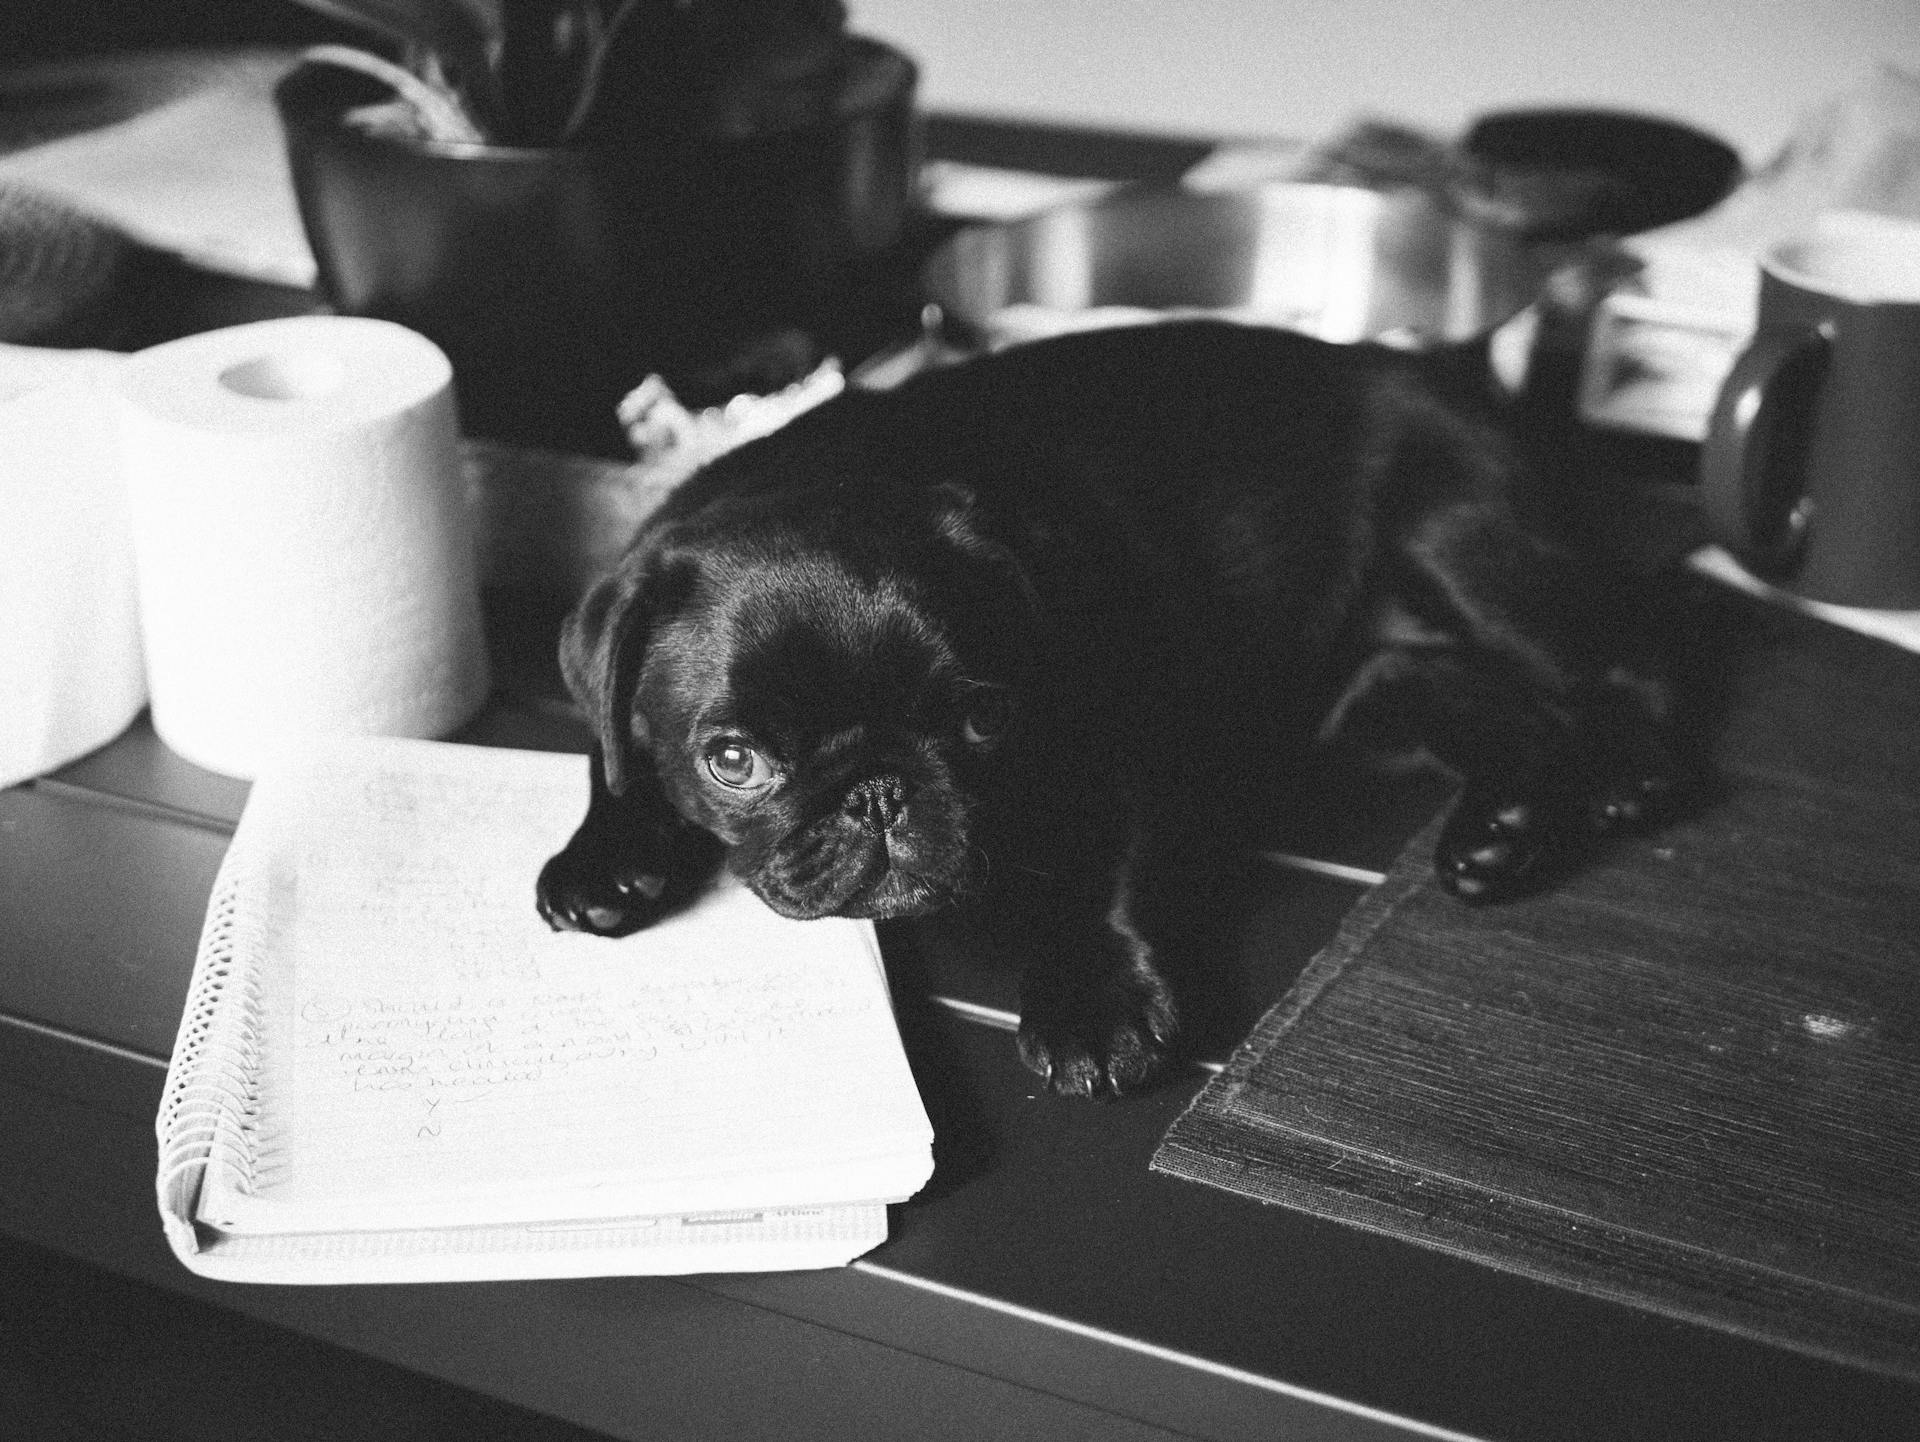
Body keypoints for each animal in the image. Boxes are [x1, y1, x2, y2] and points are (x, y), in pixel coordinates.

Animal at [541, 320, 1681, 1098]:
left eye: (984, 718)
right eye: (733, 760)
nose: (877, 792)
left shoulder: (1128, 738)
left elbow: (1105, 873)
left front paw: (1091, 1003)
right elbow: (611, 750)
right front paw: (604, 853)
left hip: (1465, 540)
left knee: (1631, 665)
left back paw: (1632, 776)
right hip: (1383, 685)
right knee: (1496, 705)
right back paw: (1503, 829)